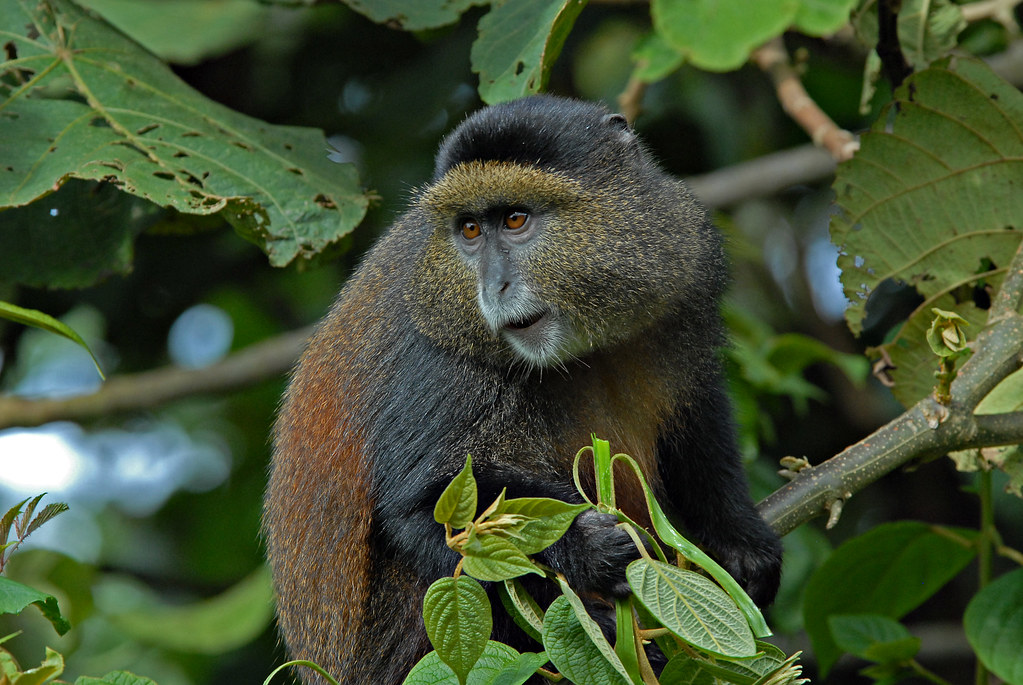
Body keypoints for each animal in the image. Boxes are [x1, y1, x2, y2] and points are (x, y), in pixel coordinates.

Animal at [263, 95, 783, 685]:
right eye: (469, 230)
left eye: (515, 219)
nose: (494, 287)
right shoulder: (441, 357)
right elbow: (424, 505)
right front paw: (588, 547)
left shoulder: (686, 271)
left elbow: (696, 413)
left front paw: (740, 546)